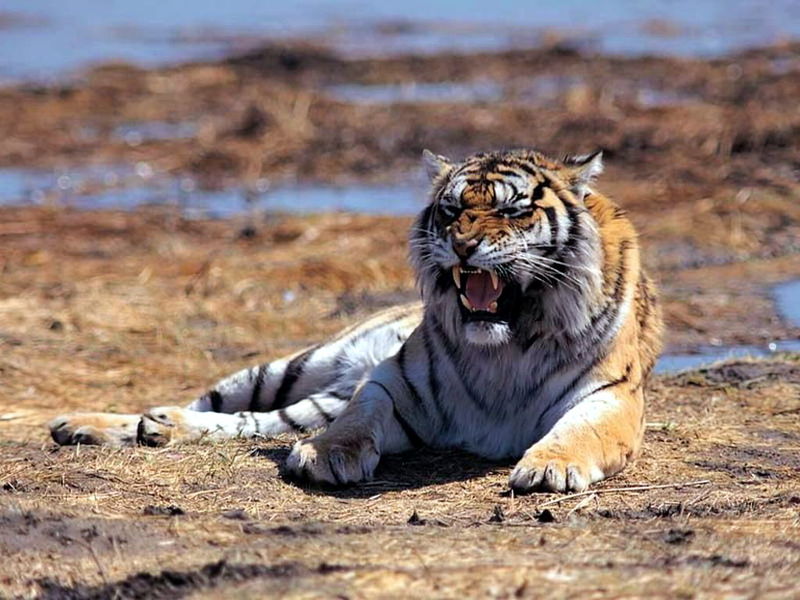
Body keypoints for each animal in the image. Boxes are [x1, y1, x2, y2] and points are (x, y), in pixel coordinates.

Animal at [49, 148, 662, 493]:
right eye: (451, 209)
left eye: (513, 209)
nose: (462, 244)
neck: (503, 349)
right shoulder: (392, 383)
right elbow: (357, 421)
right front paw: (326, 457)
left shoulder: (608, 397)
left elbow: (578, 431)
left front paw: (550, 468)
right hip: (293, 368)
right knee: (214, 403)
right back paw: (96, 423)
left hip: (306, 397)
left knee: (254, 424)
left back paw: (153, 428)